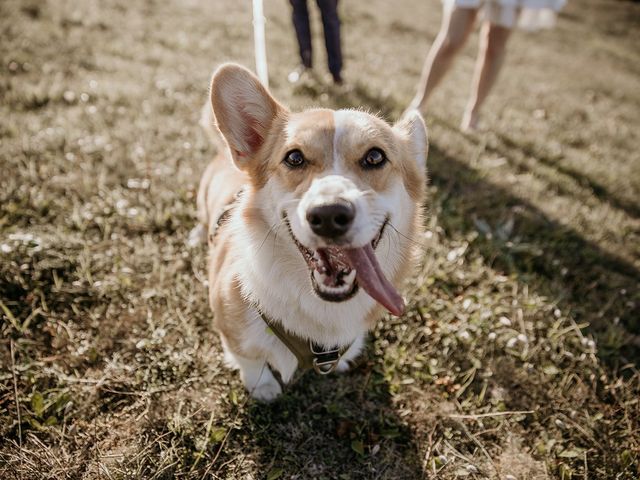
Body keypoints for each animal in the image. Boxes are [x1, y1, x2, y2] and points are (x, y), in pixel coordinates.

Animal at [198, 63, 428, 402]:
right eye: (294, 158)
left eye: (375, 157)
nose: (329, 214)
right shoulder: (232, 328)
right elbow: (251, 361)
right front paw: (263, 388)